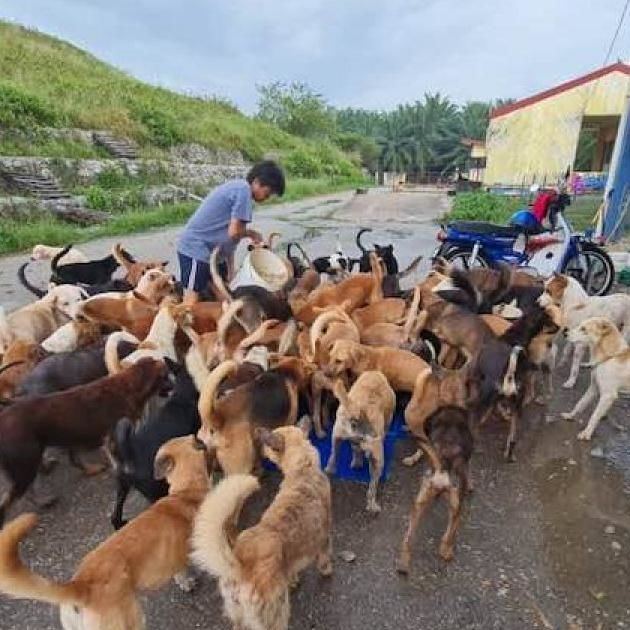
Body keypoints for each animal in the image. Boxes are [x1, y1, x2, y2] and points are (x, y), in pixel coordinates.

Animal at [193, 424, 334, 630]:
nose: (257, 434)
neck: (302, 469)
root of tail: (239, 565)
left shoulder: (291, 562)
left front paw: (294, 582)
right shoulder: (323, 537)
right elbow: (324, 560)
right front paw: (327, 571)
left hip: (237, 614)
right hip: (275, 615)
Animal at [326, 372, 396, 516]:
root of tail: (357, 411)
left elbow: (355, 449)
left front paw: (356, 462)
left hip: (336, 436)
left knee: (333, 455)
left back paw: (330, 470)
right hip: (378, 459)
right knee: (372, 487)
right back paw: (373, 506)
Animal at [400, 408, 474, 576]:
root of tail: (442, 465)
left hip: (418, 505)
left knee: (408, 539)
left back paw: (403, 565)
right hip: (456, 506)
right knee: (447, 535)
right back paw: (446, 551)